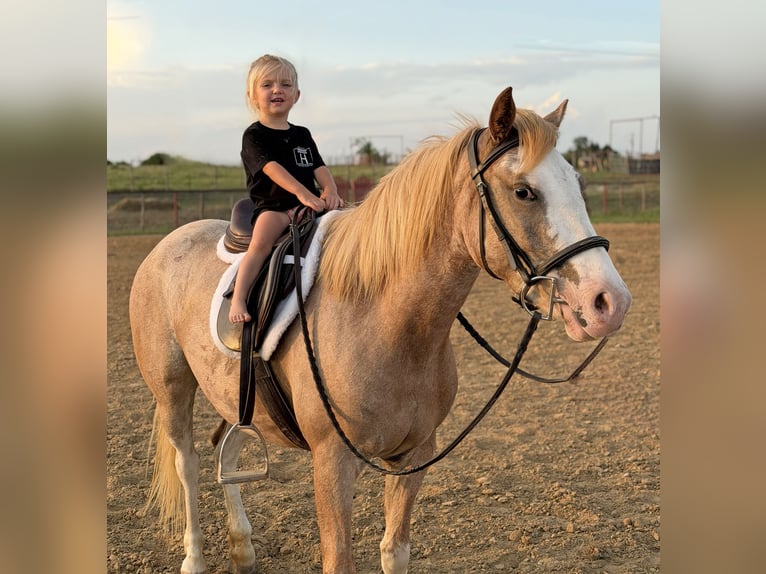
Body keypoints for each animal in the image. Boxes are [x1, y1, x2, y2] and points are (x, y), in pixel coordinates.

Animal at [129, 86, 632, 574]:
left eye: (578, 184)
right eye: (524, 191)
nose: (609, 302)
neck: (386, 324)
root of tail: (168, 243)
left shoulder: (414, 456)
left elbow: (395, 552)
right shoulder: (332, 463)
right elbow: (340, 560)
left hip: (236, 398)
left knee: (227, 452)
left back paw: (243, 550)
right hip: (173, 391)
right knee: (188, 464)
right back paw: (193, 558)